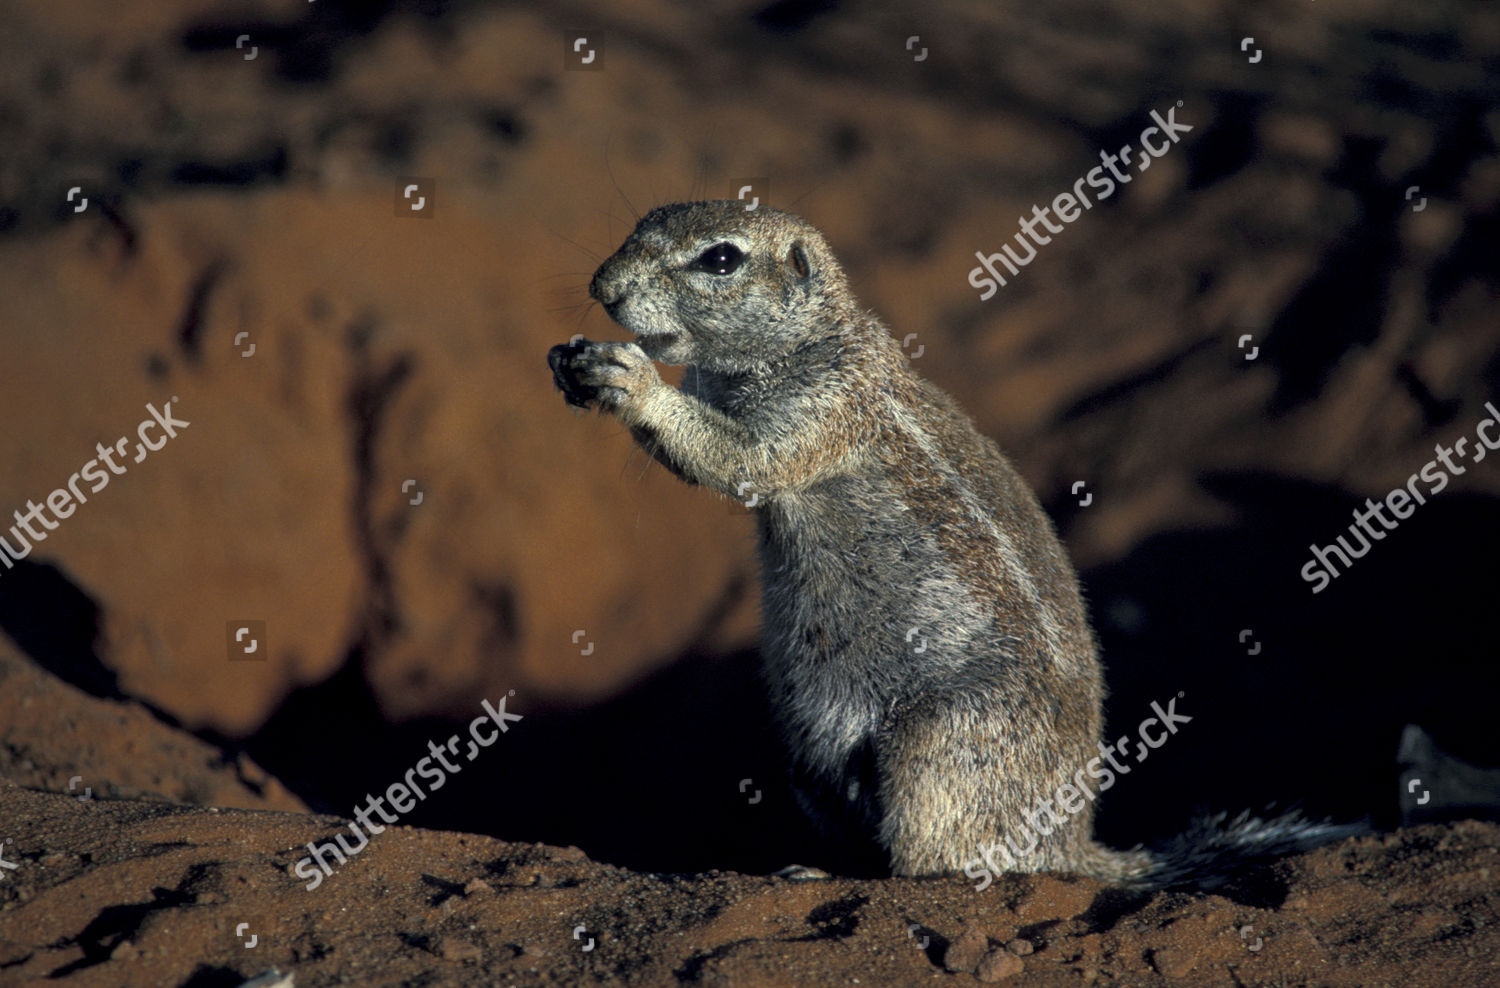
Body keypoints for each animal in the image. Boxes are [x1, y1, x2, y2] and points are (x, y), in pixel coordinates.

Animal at [548, 200, 1363, 888]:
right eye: (641, 222)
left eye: (720, 258)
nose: (601, 286)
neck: (818, 333)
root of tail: (1071, 845)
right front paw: (573, 364)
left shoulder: (825, 406)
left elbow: (739, 458)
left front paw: (632, 380)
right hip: (808, 758)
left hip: (935, 744)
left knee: (934, 864)